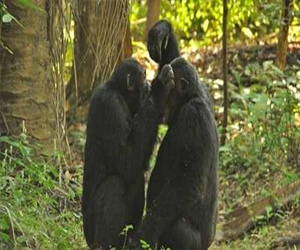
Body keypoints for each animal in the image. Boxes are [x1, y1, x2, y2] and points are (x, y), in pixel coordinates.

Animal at [81, 57, 176, 249]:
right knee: (114, 184)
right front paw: (161, 88)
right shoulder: (109, 107)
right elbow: (127, 161)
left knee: (136, 181)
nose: (148, 84)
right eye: (144, 76)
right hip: (90, 232)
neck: (121, 94)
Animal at [141, 20, 218, 250]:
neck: (188, 99)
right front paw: (161, 32)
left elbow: (188, 181)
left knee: (178, 228)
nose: (150, 92)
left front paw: (146, 232)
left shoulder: (195, 118)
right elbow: (174, 57)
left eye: (162, 86)